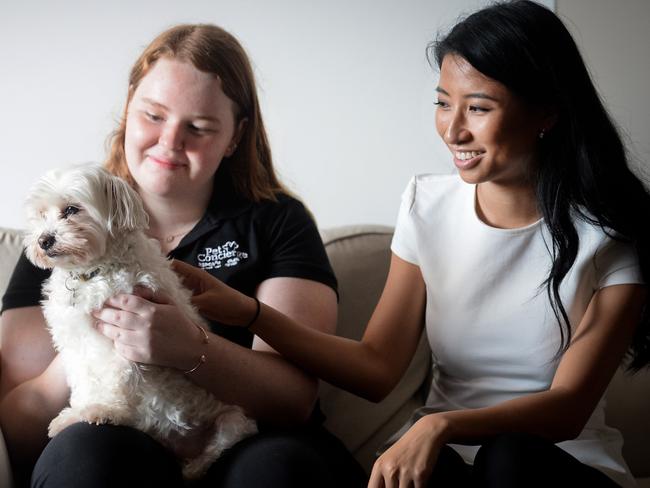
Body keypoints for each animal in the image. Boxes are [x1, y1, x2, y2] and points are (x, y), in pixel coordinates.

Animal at [23, 166, 256, 478]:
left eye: (71, 210)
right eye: (40, 215)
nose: (44, 240)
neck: (91, 274)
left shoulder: (128, 335)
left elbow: (118, 378)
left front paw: (106, 410)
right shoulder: (74, 346)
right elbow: (84, 382)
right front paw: (74, 414)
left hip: (232, 420)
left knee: (216, 449)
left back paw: (193, 467)